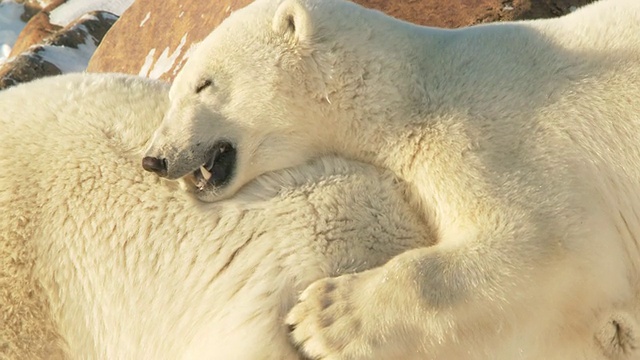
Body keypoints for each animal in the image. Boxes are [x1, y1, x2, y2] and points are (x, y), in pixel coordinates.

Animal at [142, 0, 640, 358]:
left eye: (204, 84)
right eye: (174, 91)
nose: (155, 159)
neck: (410, 92)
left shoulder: (495, 133)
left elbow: (553, 243)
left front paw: (322, 317)